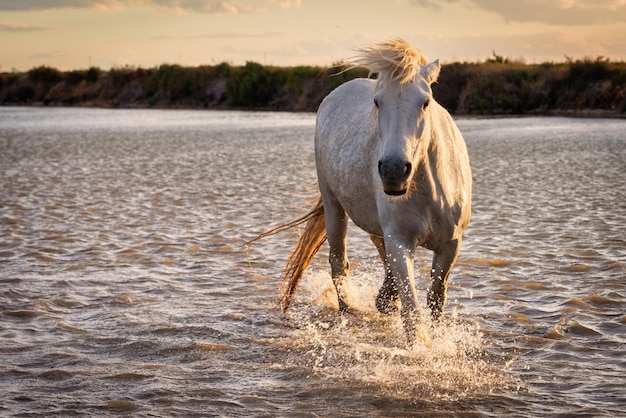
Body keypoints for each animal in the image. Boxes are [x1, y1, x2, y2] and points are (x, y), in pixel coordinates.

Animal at [251, 39, 470, 342]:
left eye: (425, 102)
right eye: (378, 102)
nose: (393, 171)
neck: (430, 192)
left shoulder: (450, 244)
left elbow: (436, 300)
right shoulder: (400, 240)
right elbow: (413, 313)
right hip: (334, 208)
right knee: (338, 264)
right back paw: (351, 311)